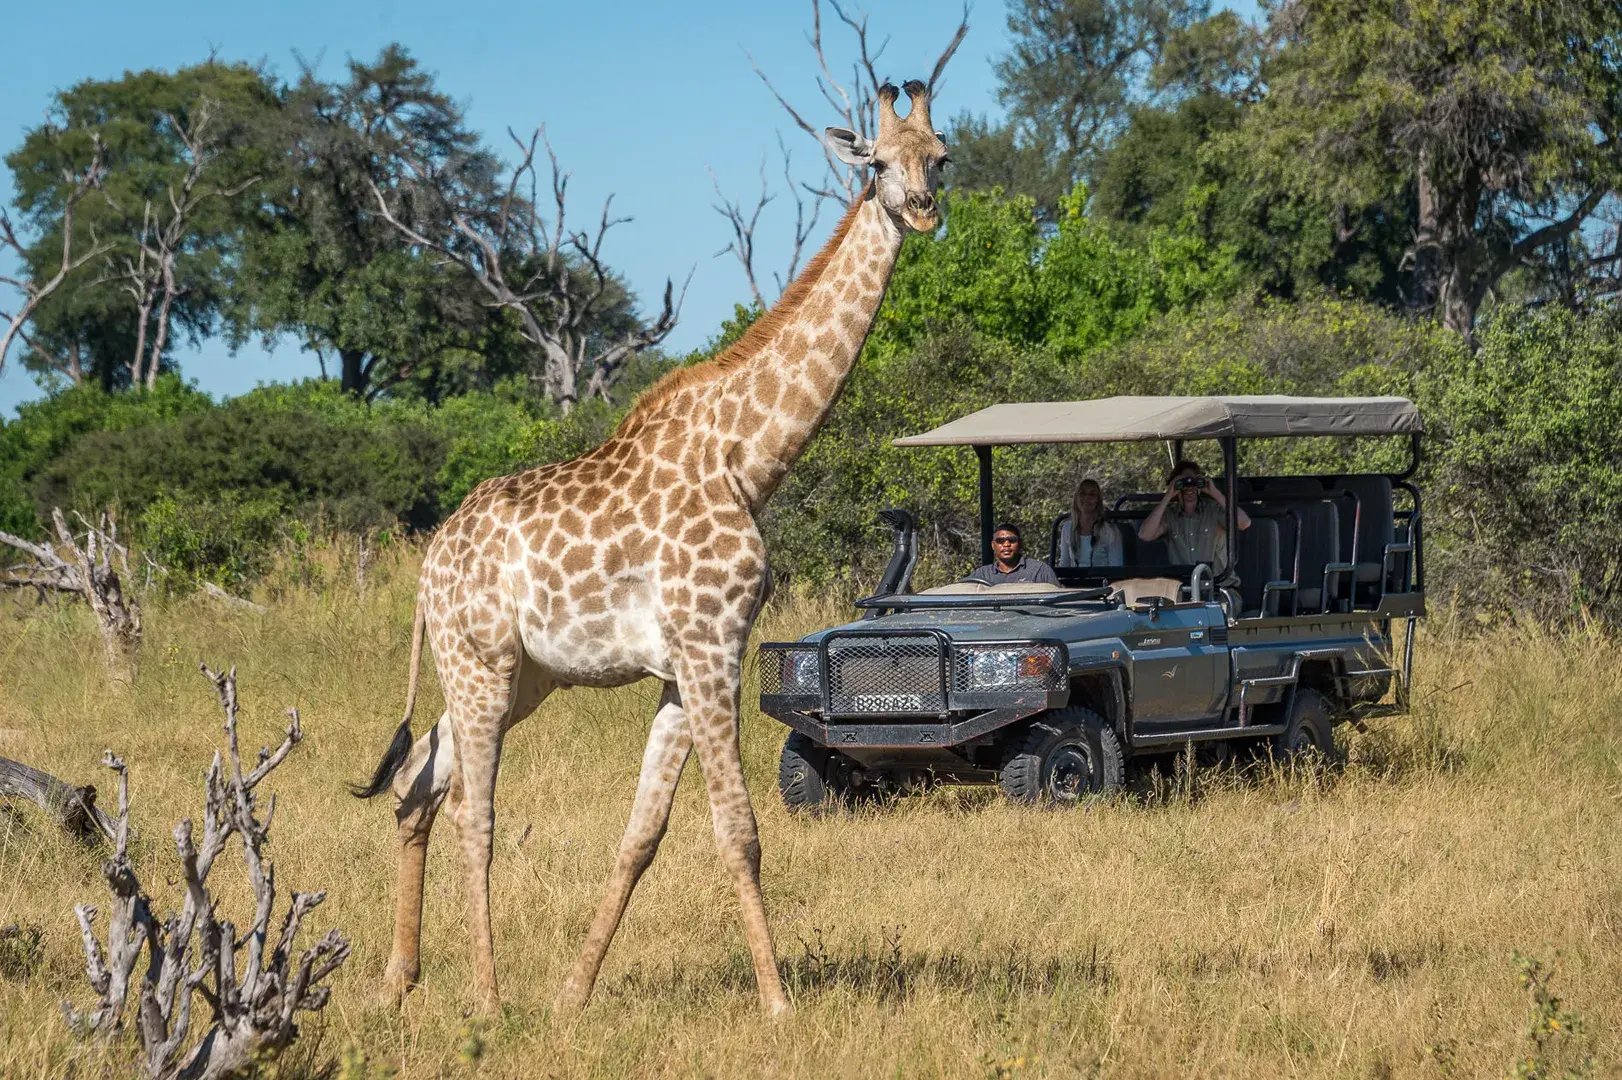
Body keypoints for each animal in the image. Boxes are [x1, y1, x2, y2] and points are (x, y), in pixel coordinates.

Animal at [348, 79, 947, 1011]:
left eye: (941, 158)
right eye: (878, 163)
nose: (920, 210)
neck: (749, 460)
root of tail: (426, 568)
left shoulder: (680, 668)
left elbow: (643, 833)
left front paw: (573, 994)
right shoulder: (711, 647)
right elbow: (738, 828)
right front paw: (779, 1003)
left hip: (518, 675)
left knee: (415, 785)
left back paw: (397, 982)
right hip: (480, 663)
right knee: (472, 811)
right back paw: (486, 996)